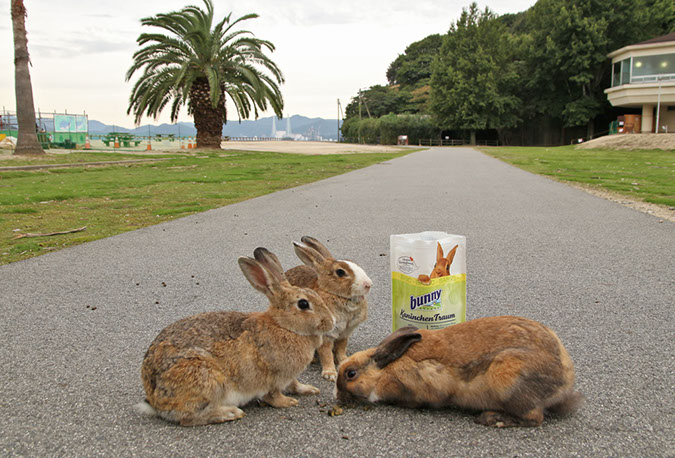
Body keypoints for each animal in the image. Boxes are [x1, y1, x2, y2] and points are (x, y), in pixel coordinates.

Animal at [136, 247, 336, 426]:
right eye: (303, 304)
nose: (332, 322)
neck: (284, 326)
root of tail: (154, 398)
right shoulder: (273, 377)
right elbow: (273, 395)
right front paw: (289, 402)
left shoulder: (289, 376)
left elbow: (295, 384)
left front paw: (309, 390)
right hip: (205, 380)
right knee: (188, 418)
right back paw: (230, 413)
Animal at [284, 236, 373, 382]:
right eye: (340, 272)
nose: (368, 284)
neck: (336, 295)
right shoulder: (326, 335)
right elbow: (326, 354)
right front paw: (330, 374)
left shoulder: (345, 332)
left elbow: (341, 348)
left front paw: (344, 360)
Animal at [335, 316, 583, 427]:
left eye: (350, 374)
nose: (338, 397)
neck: (386, 369)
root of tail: (565, 381)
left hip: (509, 380)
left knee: (534, 418)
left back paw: (491, 418)